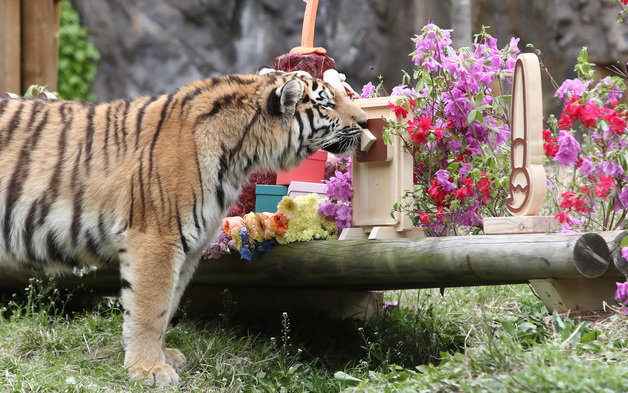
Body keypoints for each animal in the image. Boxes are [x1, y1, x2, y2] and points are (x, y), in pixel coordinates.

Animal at [0, 72, 368, 384]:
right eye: (327, 103)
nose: (366, 121)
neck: (239, 153)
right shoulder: (156, 238)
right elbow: (151, 306)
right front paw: (149, 369)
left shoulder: (190, 245)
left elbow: (168, 305)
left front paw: (162, 357)